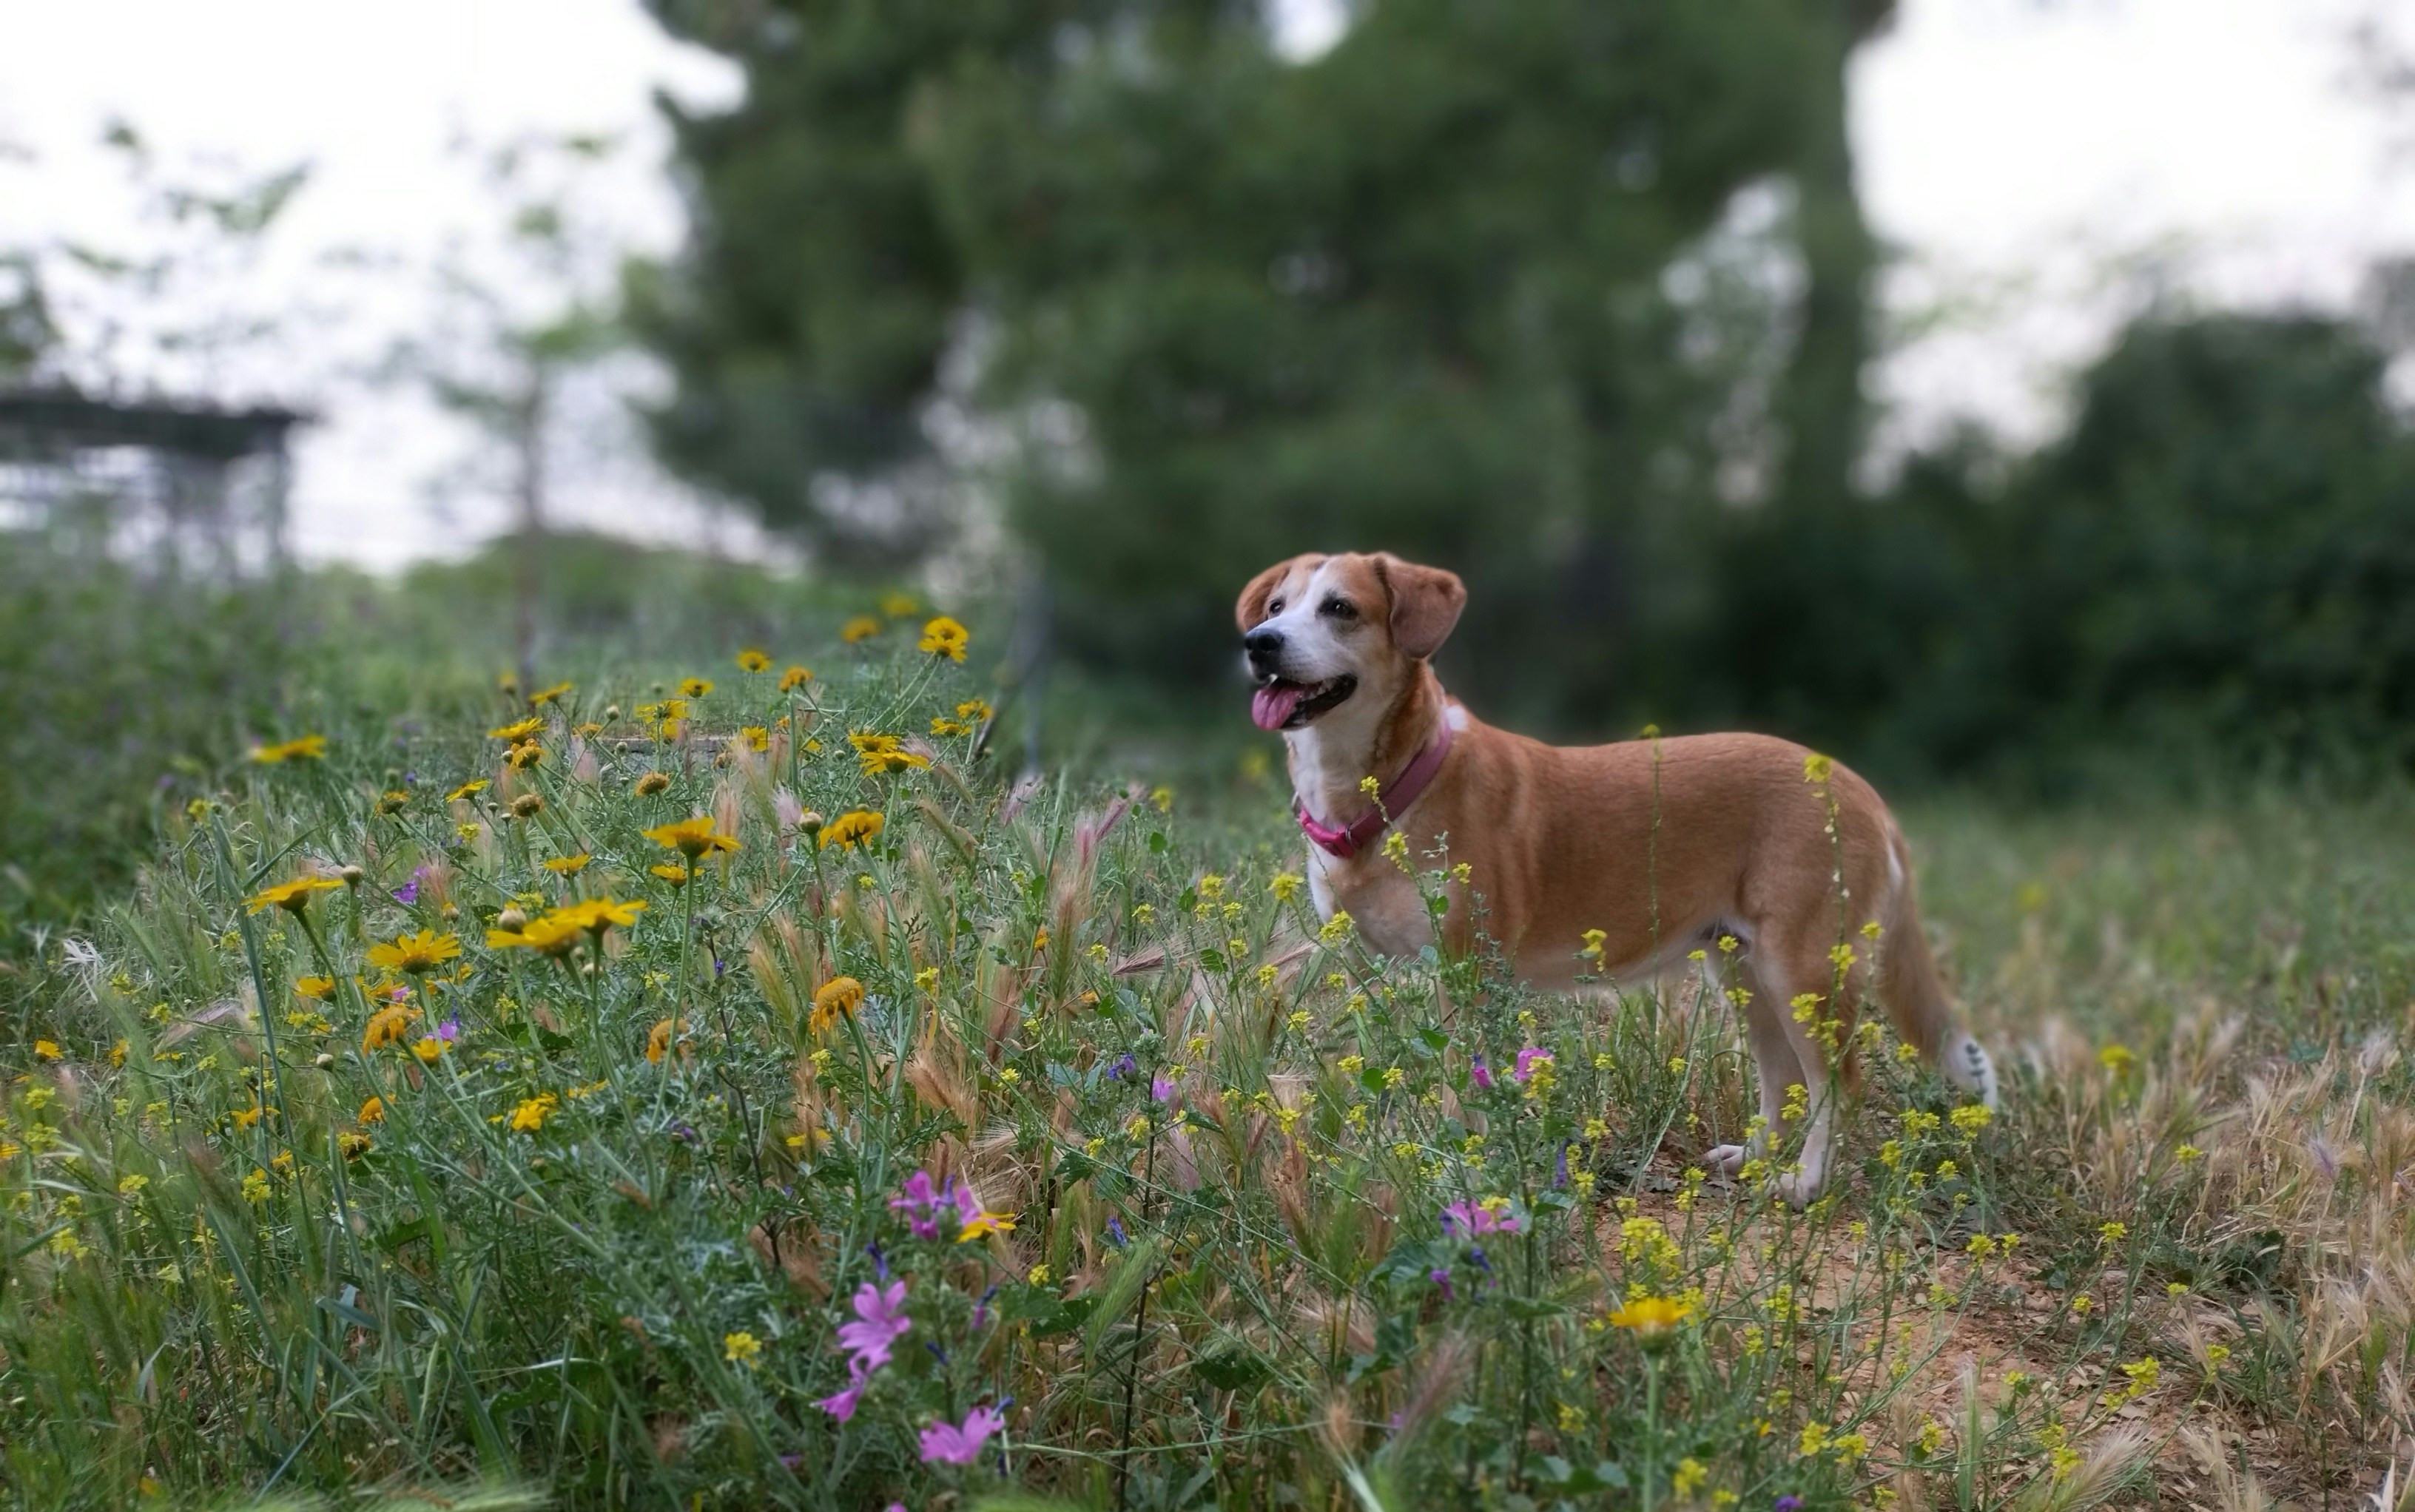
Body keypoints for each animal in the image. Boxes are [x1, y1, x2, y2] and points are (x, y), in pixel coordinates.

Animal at [1236, 553, 1990, 1203]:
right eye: (1277, 606)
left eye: (1340, 608)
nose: (1259, 643)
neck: (1396, 782)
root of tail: (1859, 788)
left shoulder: (1464, 973)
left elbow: (1463, 1090)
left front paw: (1460, 1172)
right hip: (1744, 969)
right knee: (1782, 1078)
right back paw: (1752, 1160)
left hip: (1802, 969)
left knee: (1840, 1083)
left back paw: (1804, 1185)